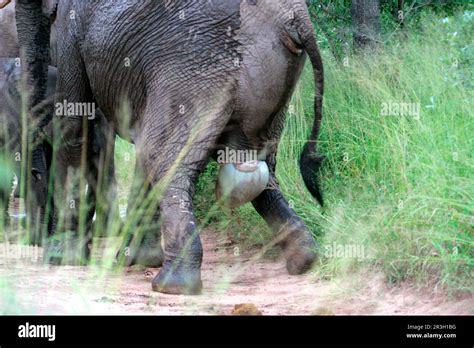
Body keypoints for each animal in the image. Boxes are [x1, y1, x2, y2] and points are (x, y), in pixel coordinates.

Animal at [15, 0, 326, 296]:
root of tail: (295, 16)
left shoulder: (71, 29)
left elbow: (73, 125)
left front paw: (61, 259)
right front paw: (134, 259)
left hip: (194, 67)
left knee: (165, 162)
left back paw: (173, 285)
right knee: (262, 173)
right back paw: (304, 259)